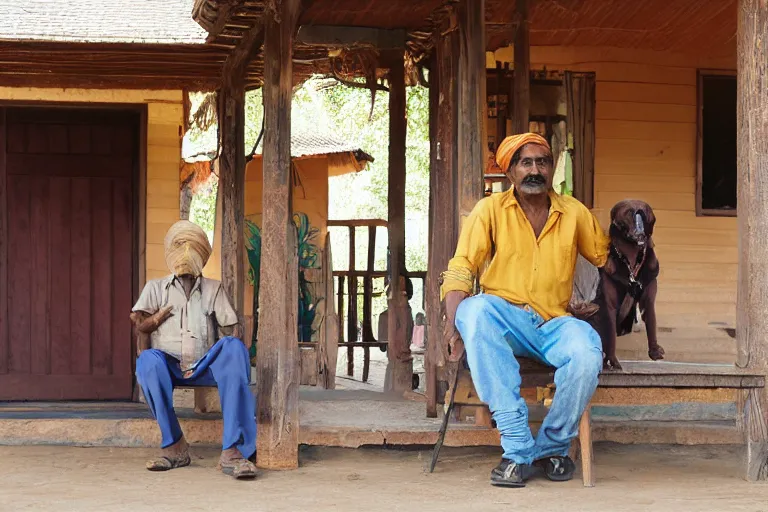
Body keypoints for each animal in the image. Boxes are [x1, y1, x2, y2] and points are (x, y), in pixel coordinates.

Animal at [572, 198, 664, 370]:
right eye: (628, 213)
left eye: (644, 213)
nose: (640, 232)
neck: (631, 261)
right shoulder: (609, 305)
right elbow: (610, 336)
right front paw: (612, 361)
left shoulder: (648, 295)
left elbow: (651, 319)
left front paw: (654, 350)